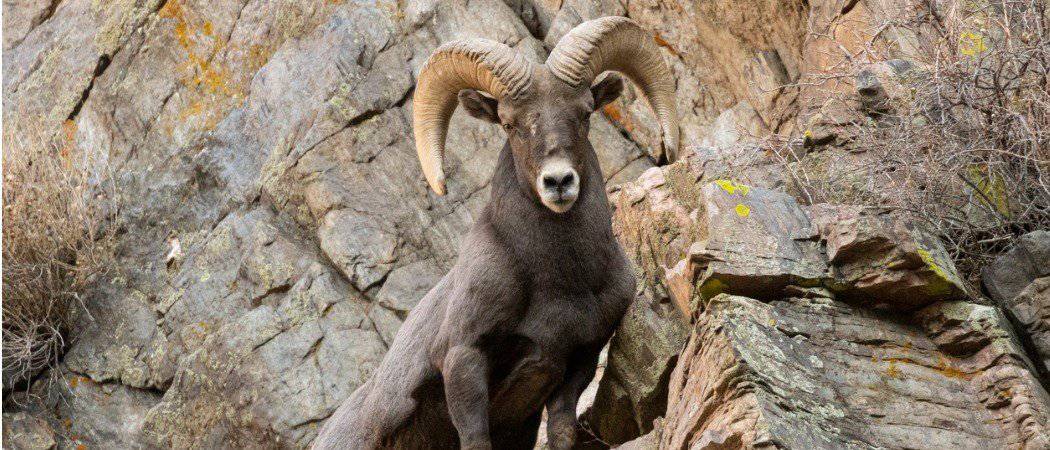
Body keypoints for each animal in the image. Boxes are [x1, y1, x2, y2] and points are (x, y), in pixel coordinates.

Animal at [313, 17, 679, 450]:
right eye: (509, 123)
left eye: (585, 112)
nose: (558, 182)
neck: (561, 281)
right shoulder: (464, 359)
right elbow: (475, 437)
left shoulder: (579, 362)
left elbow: (561, 430)